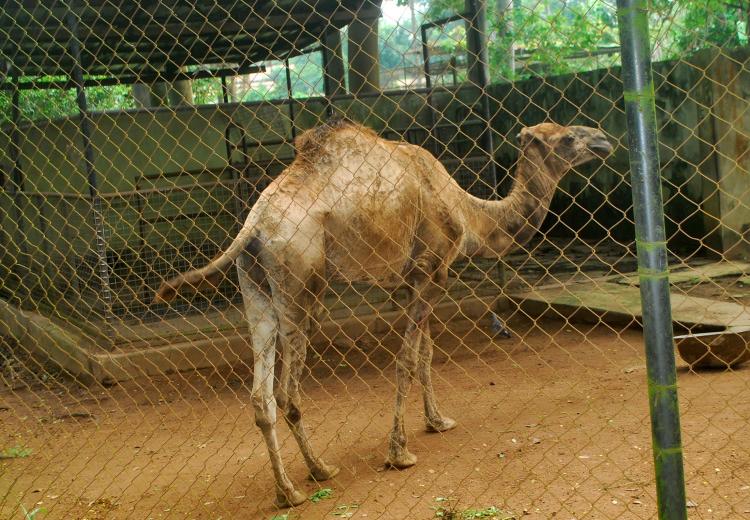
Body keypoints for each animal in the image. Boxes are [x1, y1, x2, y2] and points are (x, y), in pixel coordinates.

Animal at [154, 119, 612, 507]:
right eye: (567, 138)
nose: (604, 140)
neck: (466, 213)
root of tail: (255, 224)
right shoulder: (432, 270)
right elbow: (407, 359)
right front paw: (399, 452)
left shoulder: (416, 279)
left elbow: (426, 356)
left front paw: (438, 421)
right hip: (298, 283)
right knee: (288, 391)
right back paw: (319, 471)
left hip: (253, 286)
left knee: (260, 395)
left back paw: (289, 492)